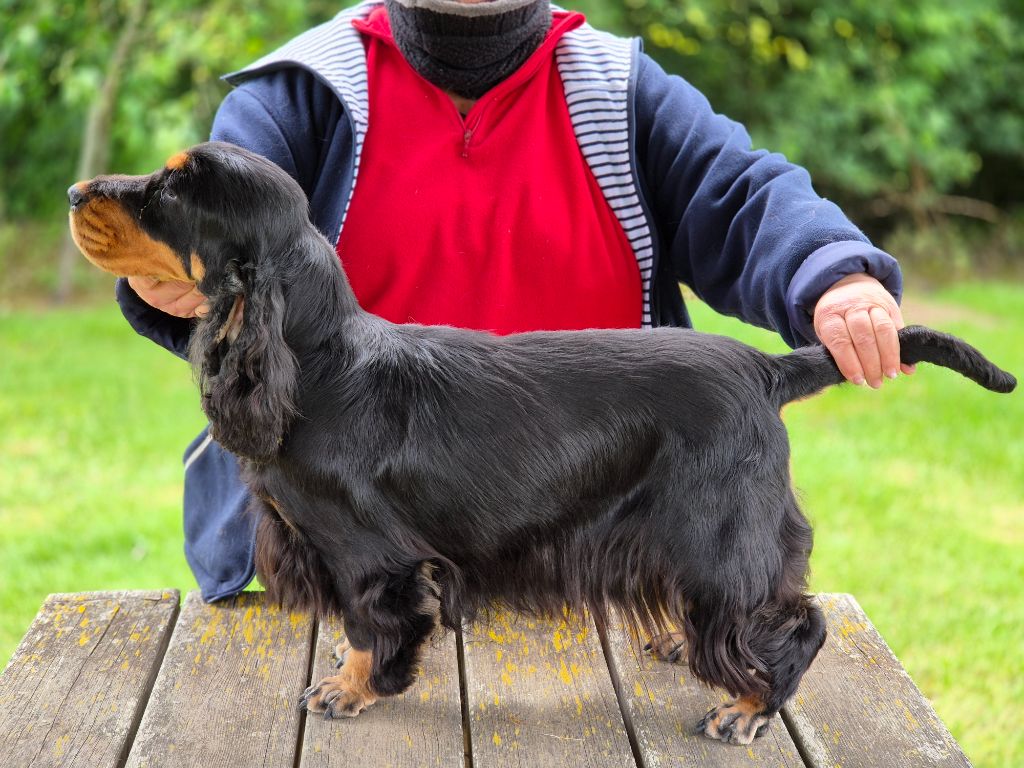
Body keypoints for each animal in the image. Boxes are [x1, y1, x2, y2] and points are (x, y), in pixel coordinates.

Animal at [68, 141, 1016, 745]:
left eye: (170, 192)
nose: (78, 193)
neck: (320, 362)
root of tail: (764, 366)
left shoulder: (369, 553)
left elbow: (372, 627)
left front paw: (352, 689)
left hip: (721, 532)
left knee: (799, 622)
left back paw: (747, 707)